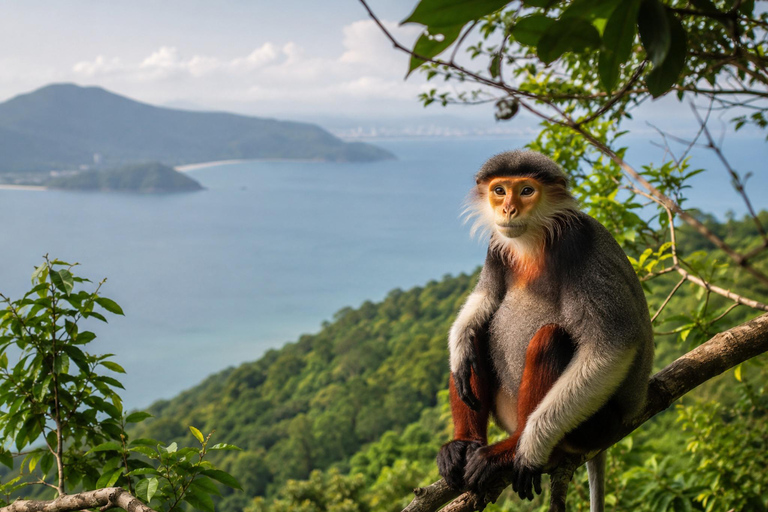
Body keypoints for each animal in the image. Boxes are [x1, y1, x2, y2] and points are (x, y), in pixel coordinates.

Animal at [437, 150, 654, 511]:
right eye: (500, 191)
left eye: (526, 191)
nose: (508, 209)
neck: (533, 241)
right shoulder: (497, 244)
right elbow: (486, 297)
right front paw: (459, 353)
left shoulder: (579, 243)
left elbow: (611, 346)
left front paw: (528, 451)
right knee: (478, 336)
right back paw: (464, 444)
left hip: (594, 426)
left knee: (551, 336)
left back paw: (510, 450)